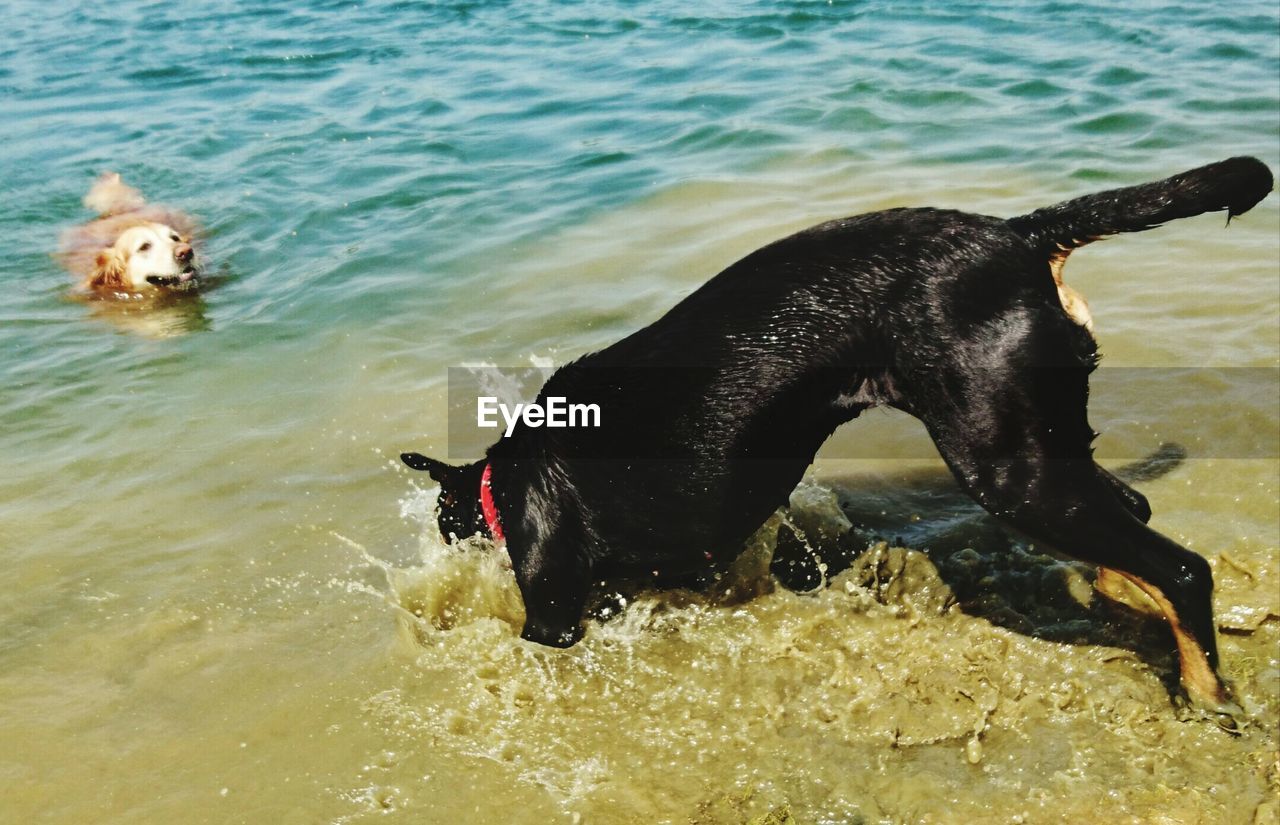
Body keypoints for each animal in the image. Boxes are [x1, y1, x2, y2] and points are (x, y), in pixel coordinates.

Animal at [399, 157, 1269, 711]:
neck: (507, 476)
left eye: (445, 524)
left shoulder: (552, 608)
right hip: (1041, 443)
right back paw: (1126, 601)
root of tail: (1018, 235)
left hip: (1009, 470)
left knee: (1182, 567)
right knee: (1134, 521)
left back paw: (1206, 691)